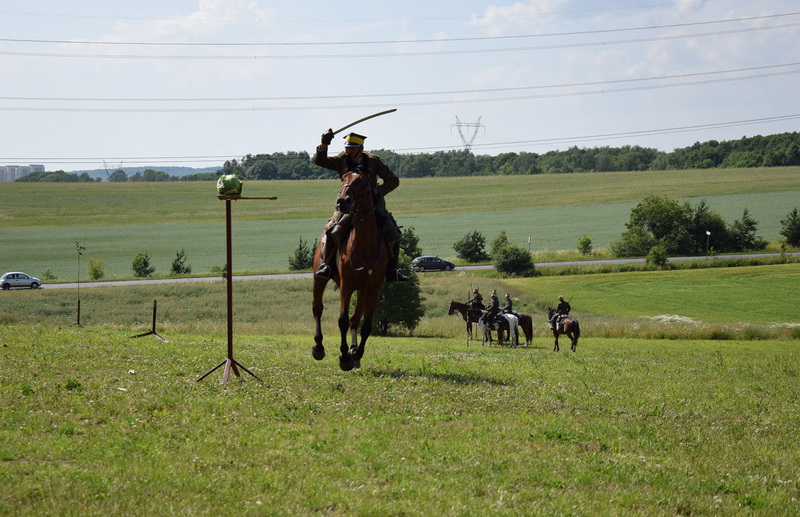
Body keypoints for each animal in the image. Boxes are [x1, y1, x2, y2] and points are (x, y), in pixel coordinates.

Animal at [312, 163, 388, 371]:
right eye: (343, 178)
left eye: (362, 181)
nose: (342, 201)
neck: (365, 244)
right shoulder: (346, 286)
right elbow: (343, 321)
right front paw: (344, 357)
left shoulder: (373, 289)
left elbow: (366, 324)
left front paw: (356, 353)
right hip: (319, 279)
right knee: (317, 308)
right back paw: (318, 347)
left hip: (361, 291)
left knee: (355, 318)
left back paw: (355, 352)